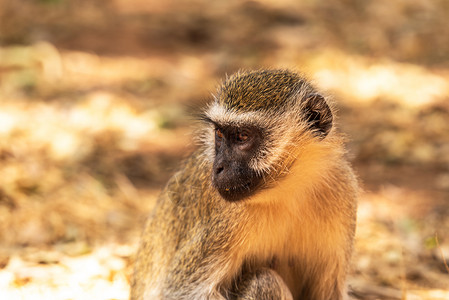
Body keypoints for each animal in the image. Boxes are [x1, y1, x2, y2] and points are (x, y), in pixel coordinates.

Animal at [130, 69, 356, 298]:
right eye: (219, 134)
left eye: (242, 136)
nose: (218, 167)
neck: (288, 189)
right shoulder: (227, 221)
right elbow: (182, 292)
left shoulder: (343, 189)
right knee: (265, 280)